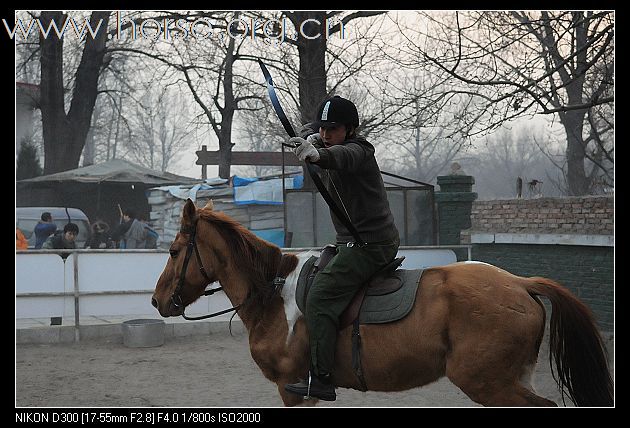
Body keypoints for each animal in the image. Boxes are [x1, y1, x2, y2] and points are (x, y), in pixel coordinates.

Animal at [151, 199, 616, 406]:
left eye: (173, 251)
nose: (157, 301)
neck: (274, 292)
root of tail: (519, 283)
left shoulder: (291, 388)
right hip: (511, 378)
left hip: (489, 383)